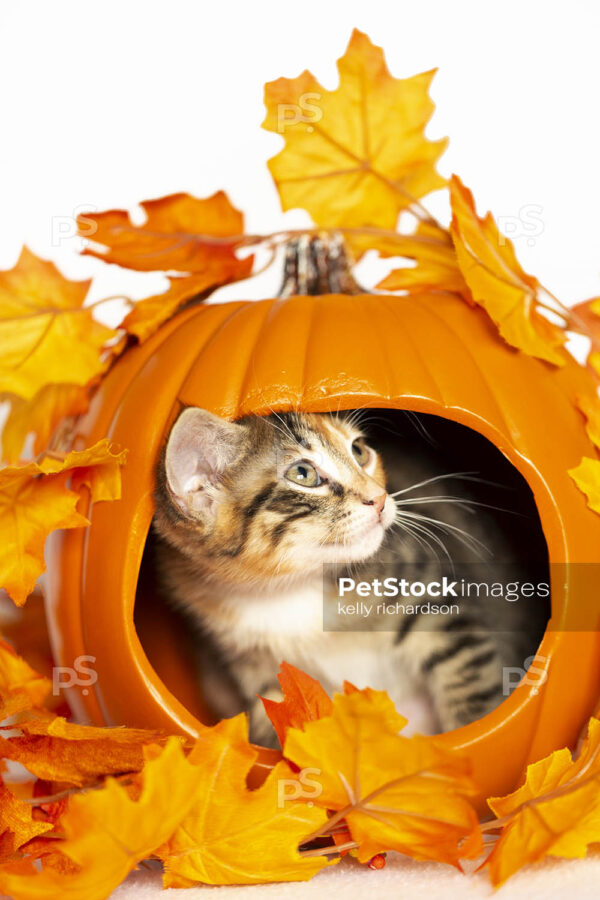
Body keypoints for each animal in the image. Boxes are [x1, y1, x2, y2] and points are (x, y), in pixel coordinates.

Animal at [151, 408, 548, 744]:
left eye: (359, 451)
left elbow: (472, 690)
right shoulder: (256, 666)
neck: (287, 588)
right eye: (303, 474)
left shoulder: (435, 605)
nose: (381, 498)